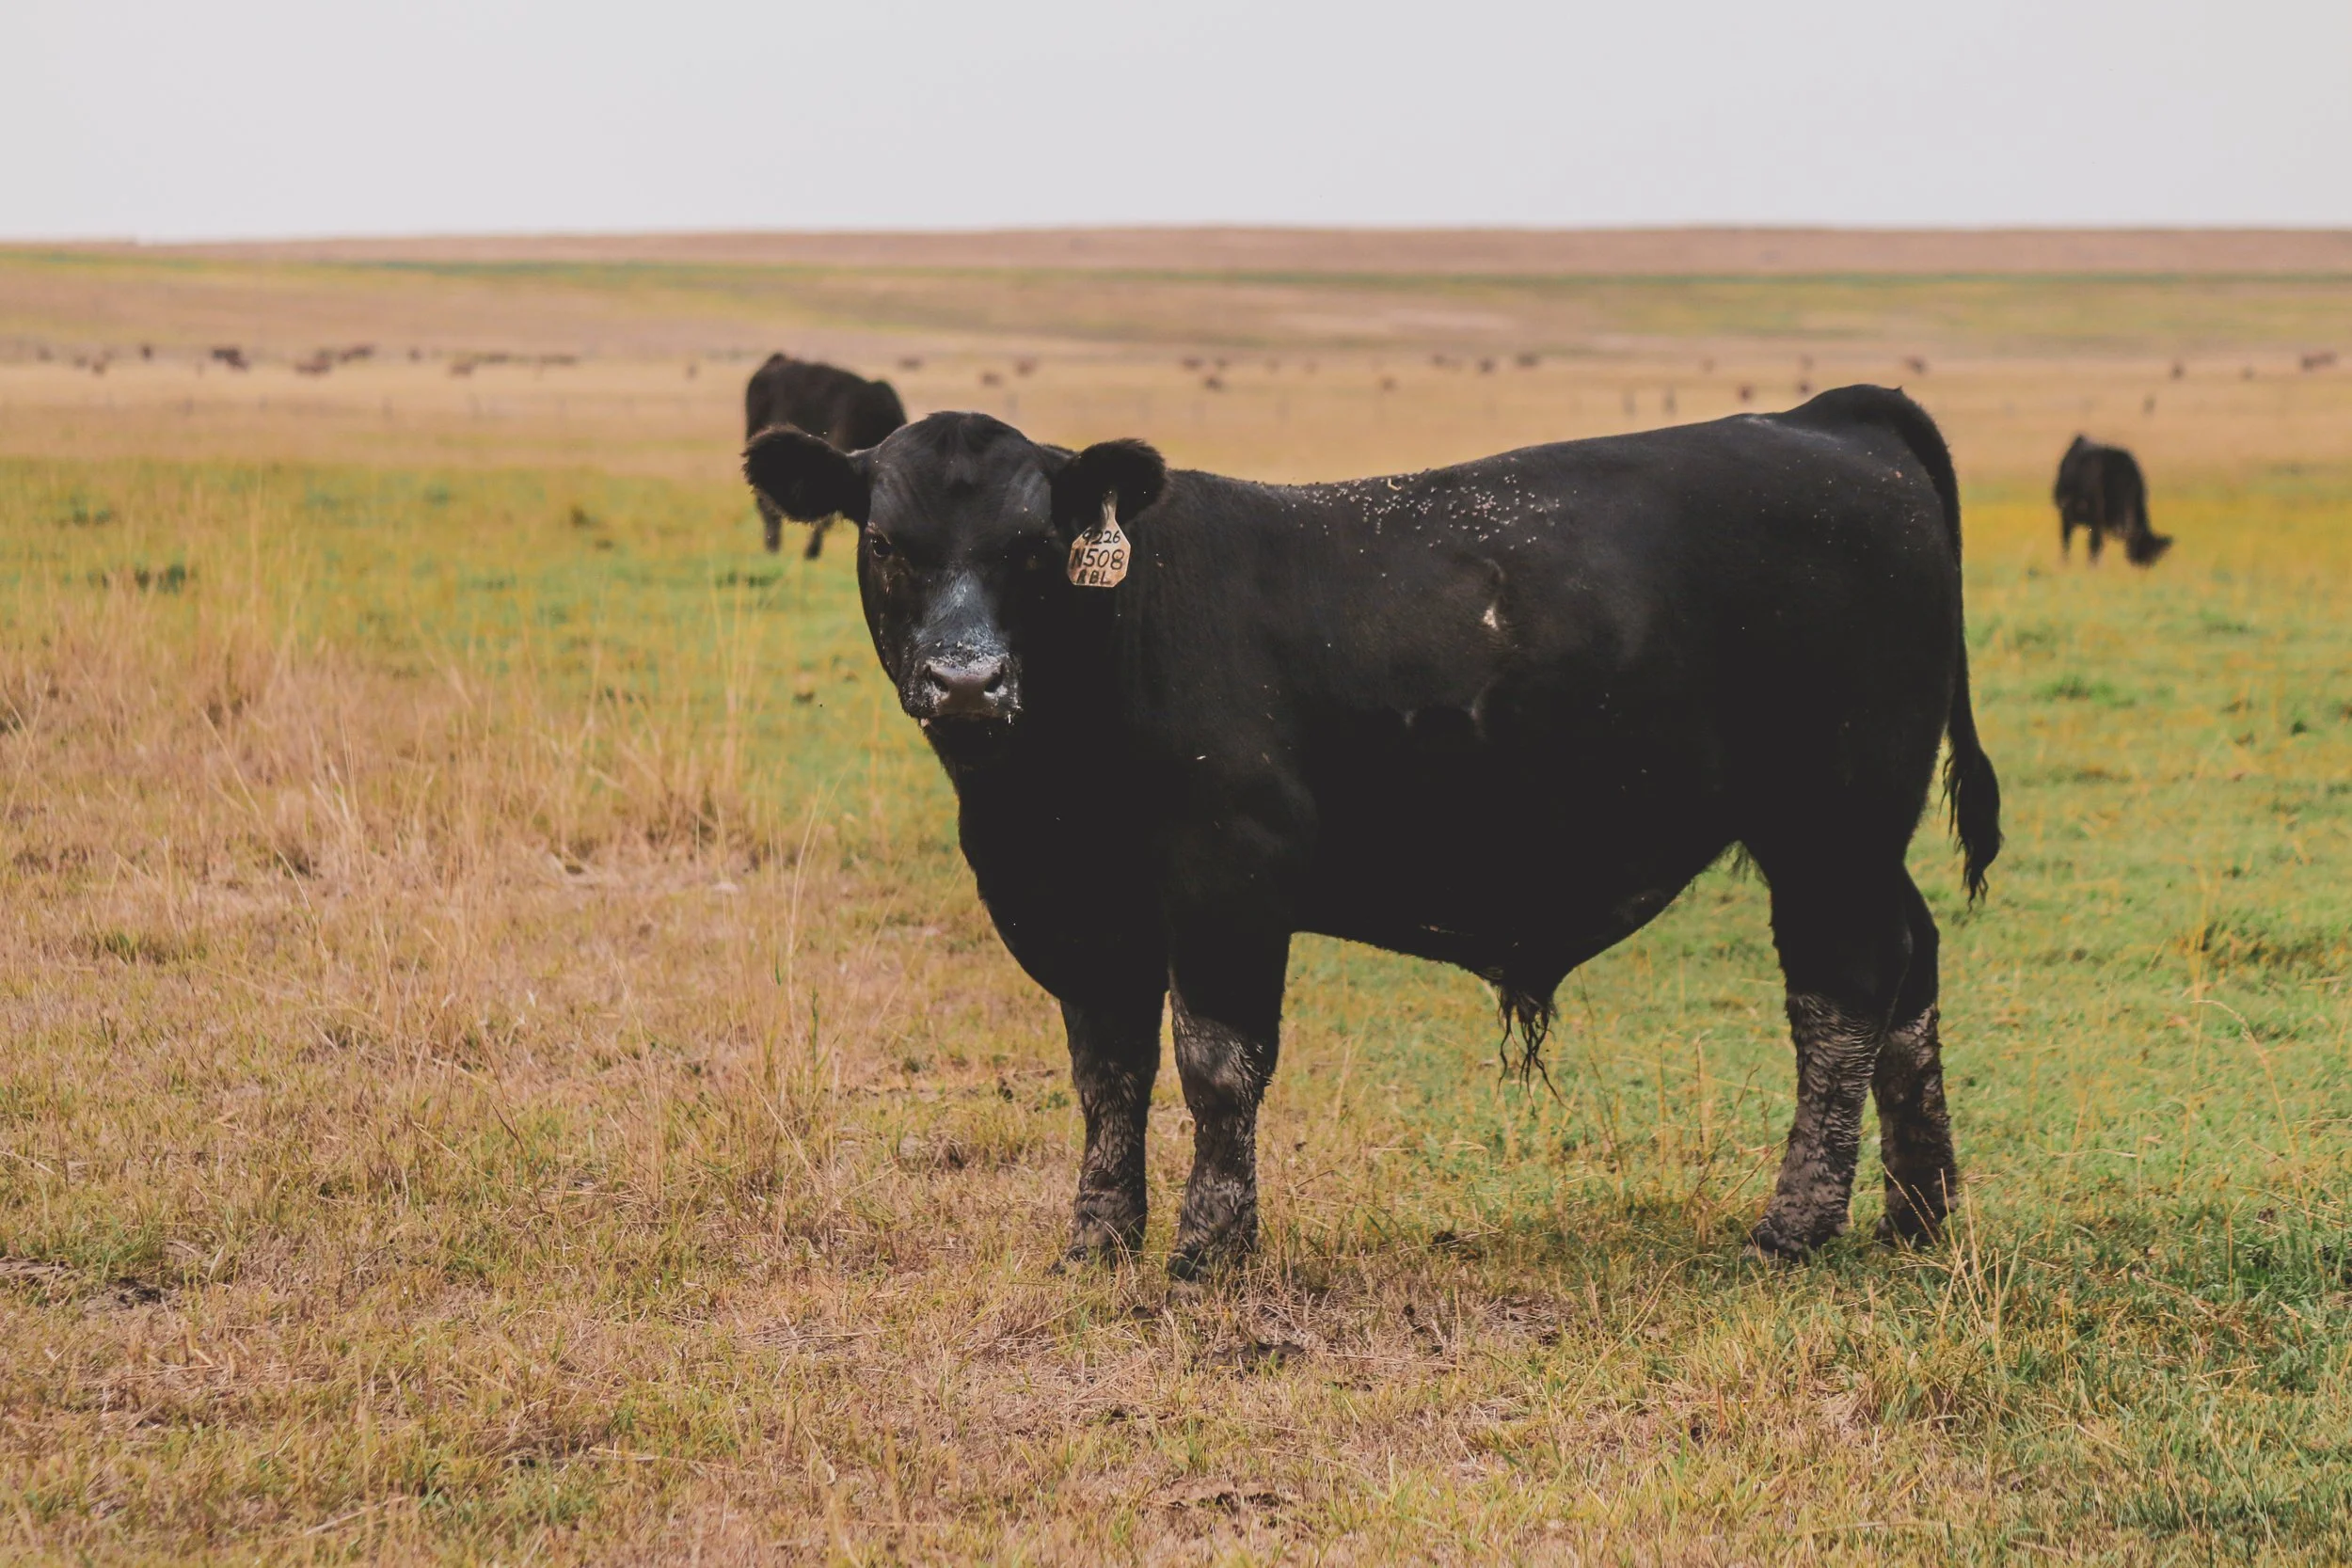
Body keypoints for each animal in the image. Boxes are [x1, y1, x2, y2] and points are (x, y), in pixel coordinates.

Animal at [744, 385, 2002, 1277]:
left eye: (1029, 545)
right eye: (885, 542)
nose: (967, 682)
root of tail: (1826, 419)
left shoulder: (1228, 882)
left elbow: (1215, 1065)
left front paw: (1210, 1247)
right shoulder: (1079, 911)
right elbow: (1107, 1076)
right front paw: (1096, 1241)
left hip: (1829, 825)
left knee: (1840, 996)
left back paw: (1796, 1224)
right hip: (1861, 843)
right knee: (1911, 971)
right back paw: (1919, 1209)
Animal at [2054, 436, 2171, 566]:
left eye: (2154, 557)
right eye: (2142, 549)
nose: (2144, 567)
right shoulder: (2096, 518)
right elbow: (2094, 545)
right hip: (2066, 515)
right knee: (2066, 539)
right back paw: (2065, 563)